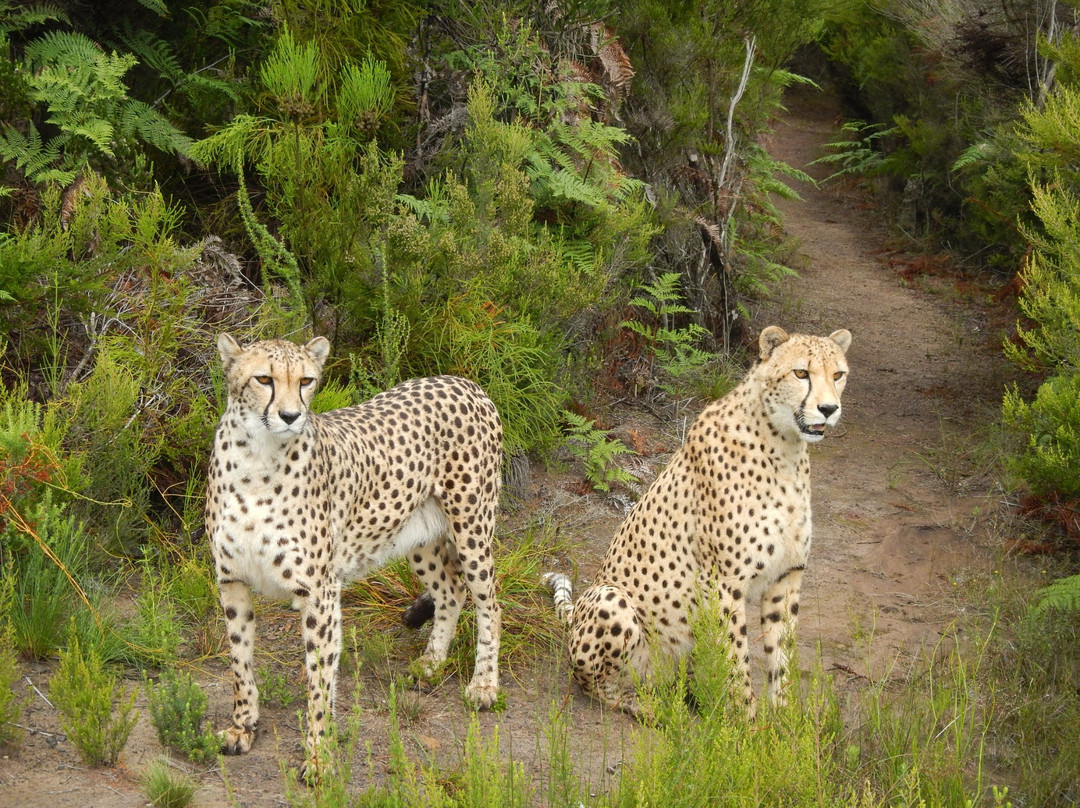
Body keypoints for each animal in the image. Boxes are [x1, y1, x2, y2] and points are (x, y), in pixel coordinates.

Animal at [206, 332, 505, 777]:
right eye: (263, 379)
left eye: (307, 380)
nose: (291, 415)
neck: (257, 458)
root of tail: (464, 381)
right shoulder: (232, 581)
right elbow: (240, 663)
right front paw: (243, 728)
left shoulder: (319, 591)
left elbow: (318, 679)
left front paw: (318, 757)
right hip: (415, 535)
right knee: (451, 591)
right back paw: (432, 663)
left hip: (472, 529)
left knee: (489, 603)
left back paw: (484, 685)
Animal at [544, 326, 846, 712]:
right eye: (801, 373)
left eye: (838, 375)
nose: (829, 408)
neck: (784, 448)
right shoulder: (725, 584)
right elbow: (738, 662)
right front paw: (746, 721)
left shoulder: (786, 577)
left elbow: (782, 657)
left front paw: (783, 720)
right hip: (609, 598)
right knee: (599, 687)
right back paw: (649, 708)